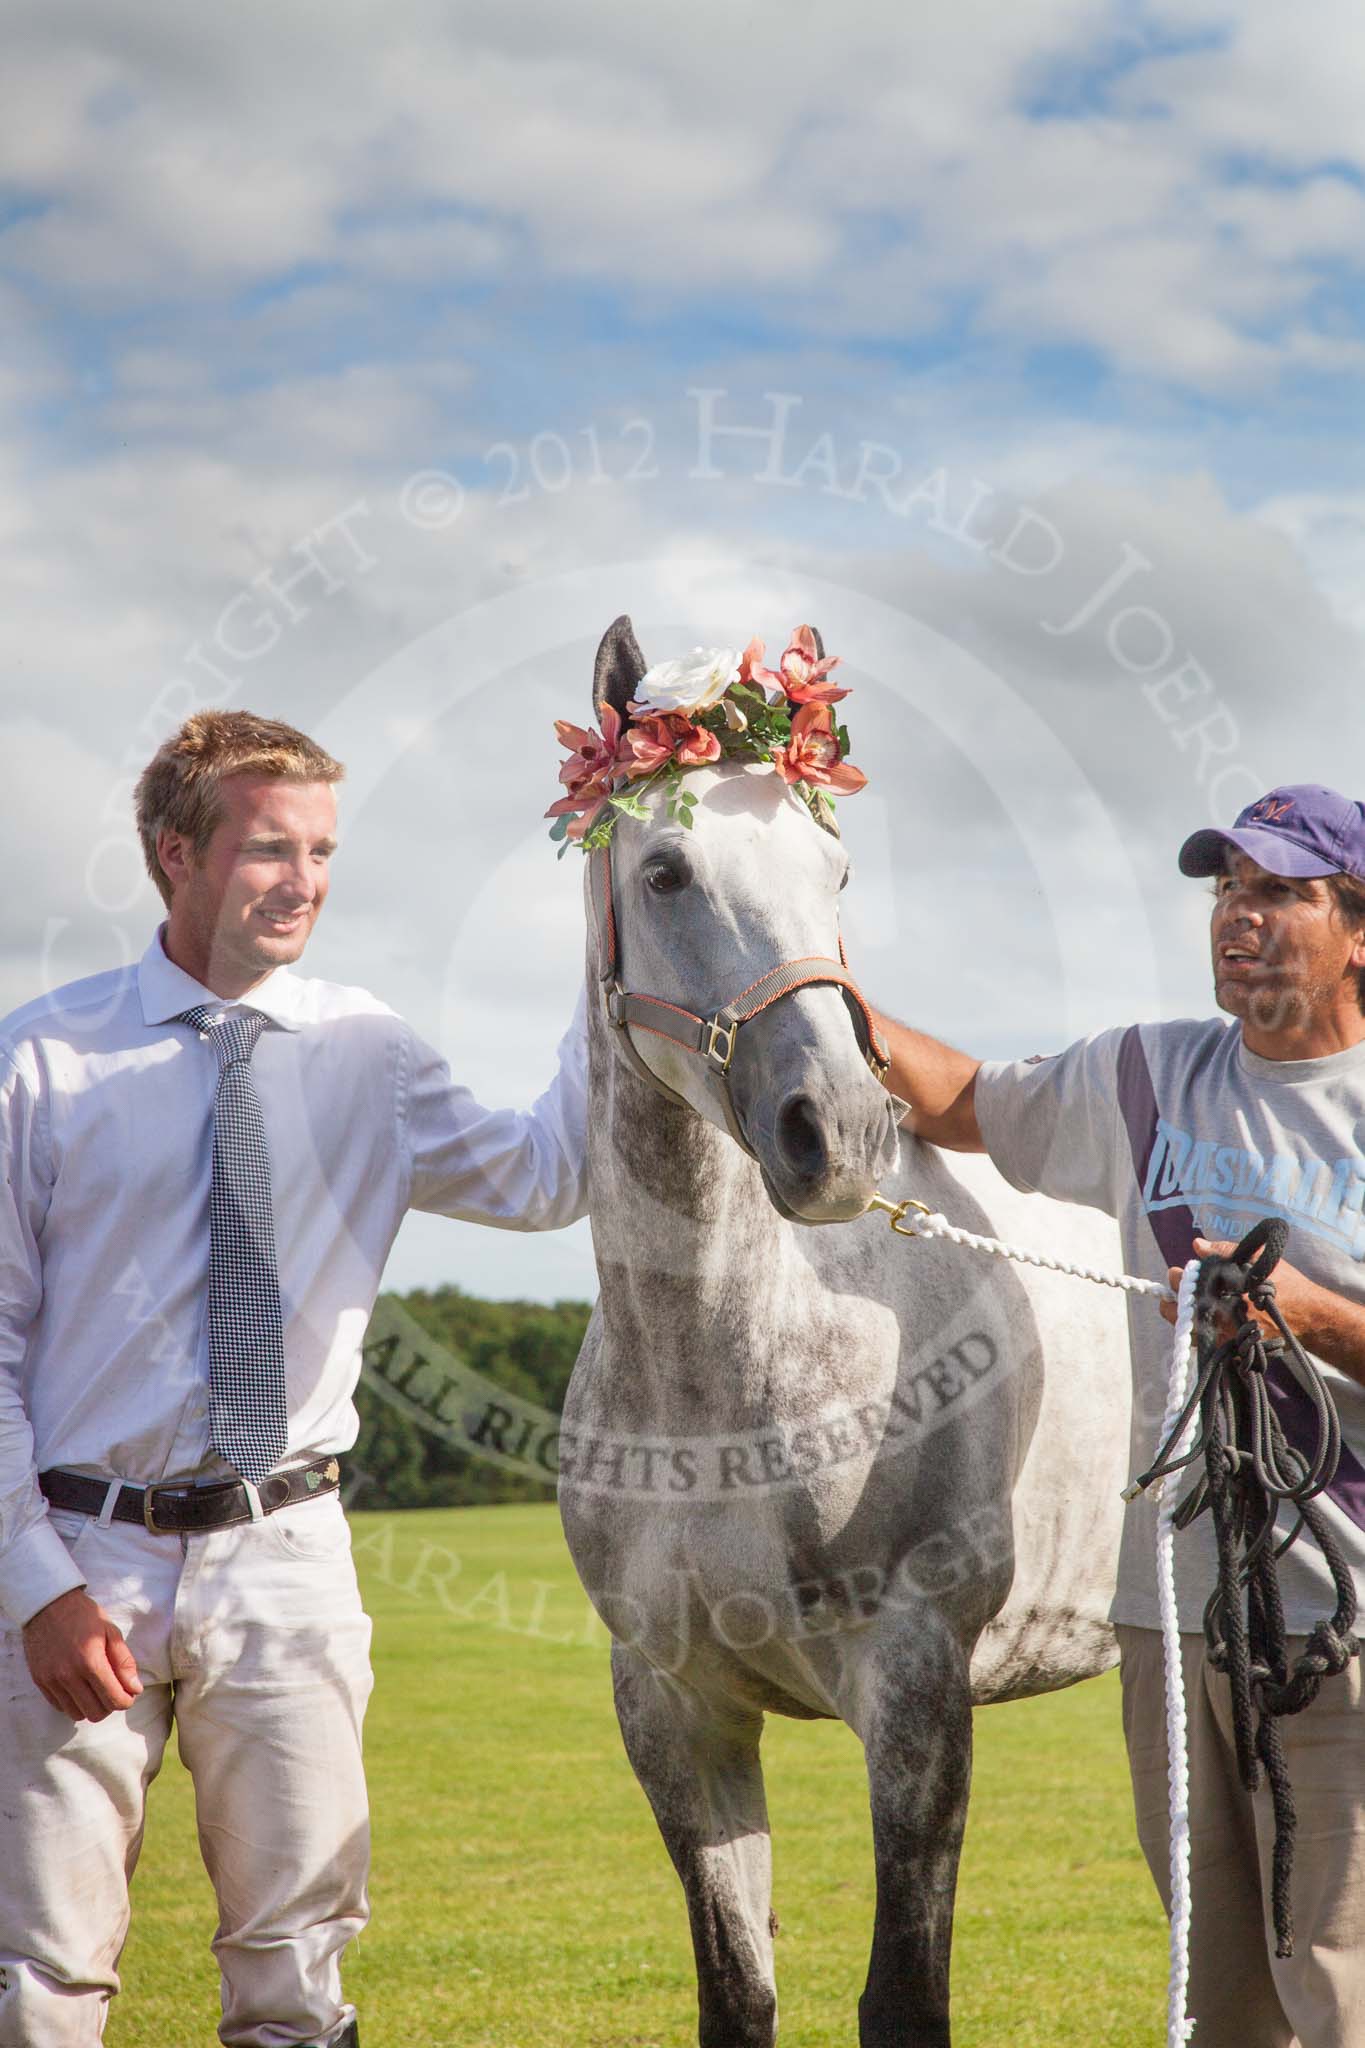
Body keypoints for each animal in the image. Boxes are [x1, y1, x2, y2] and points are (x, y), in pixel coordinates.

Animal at [558, 616, 1133, 2046]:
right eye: (666, 870)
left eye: (837, 871)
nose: (846, 1129)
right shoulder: (677, 1713)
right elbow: (737, 1989)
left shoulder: (915, 1690)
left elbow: (904, 1994)